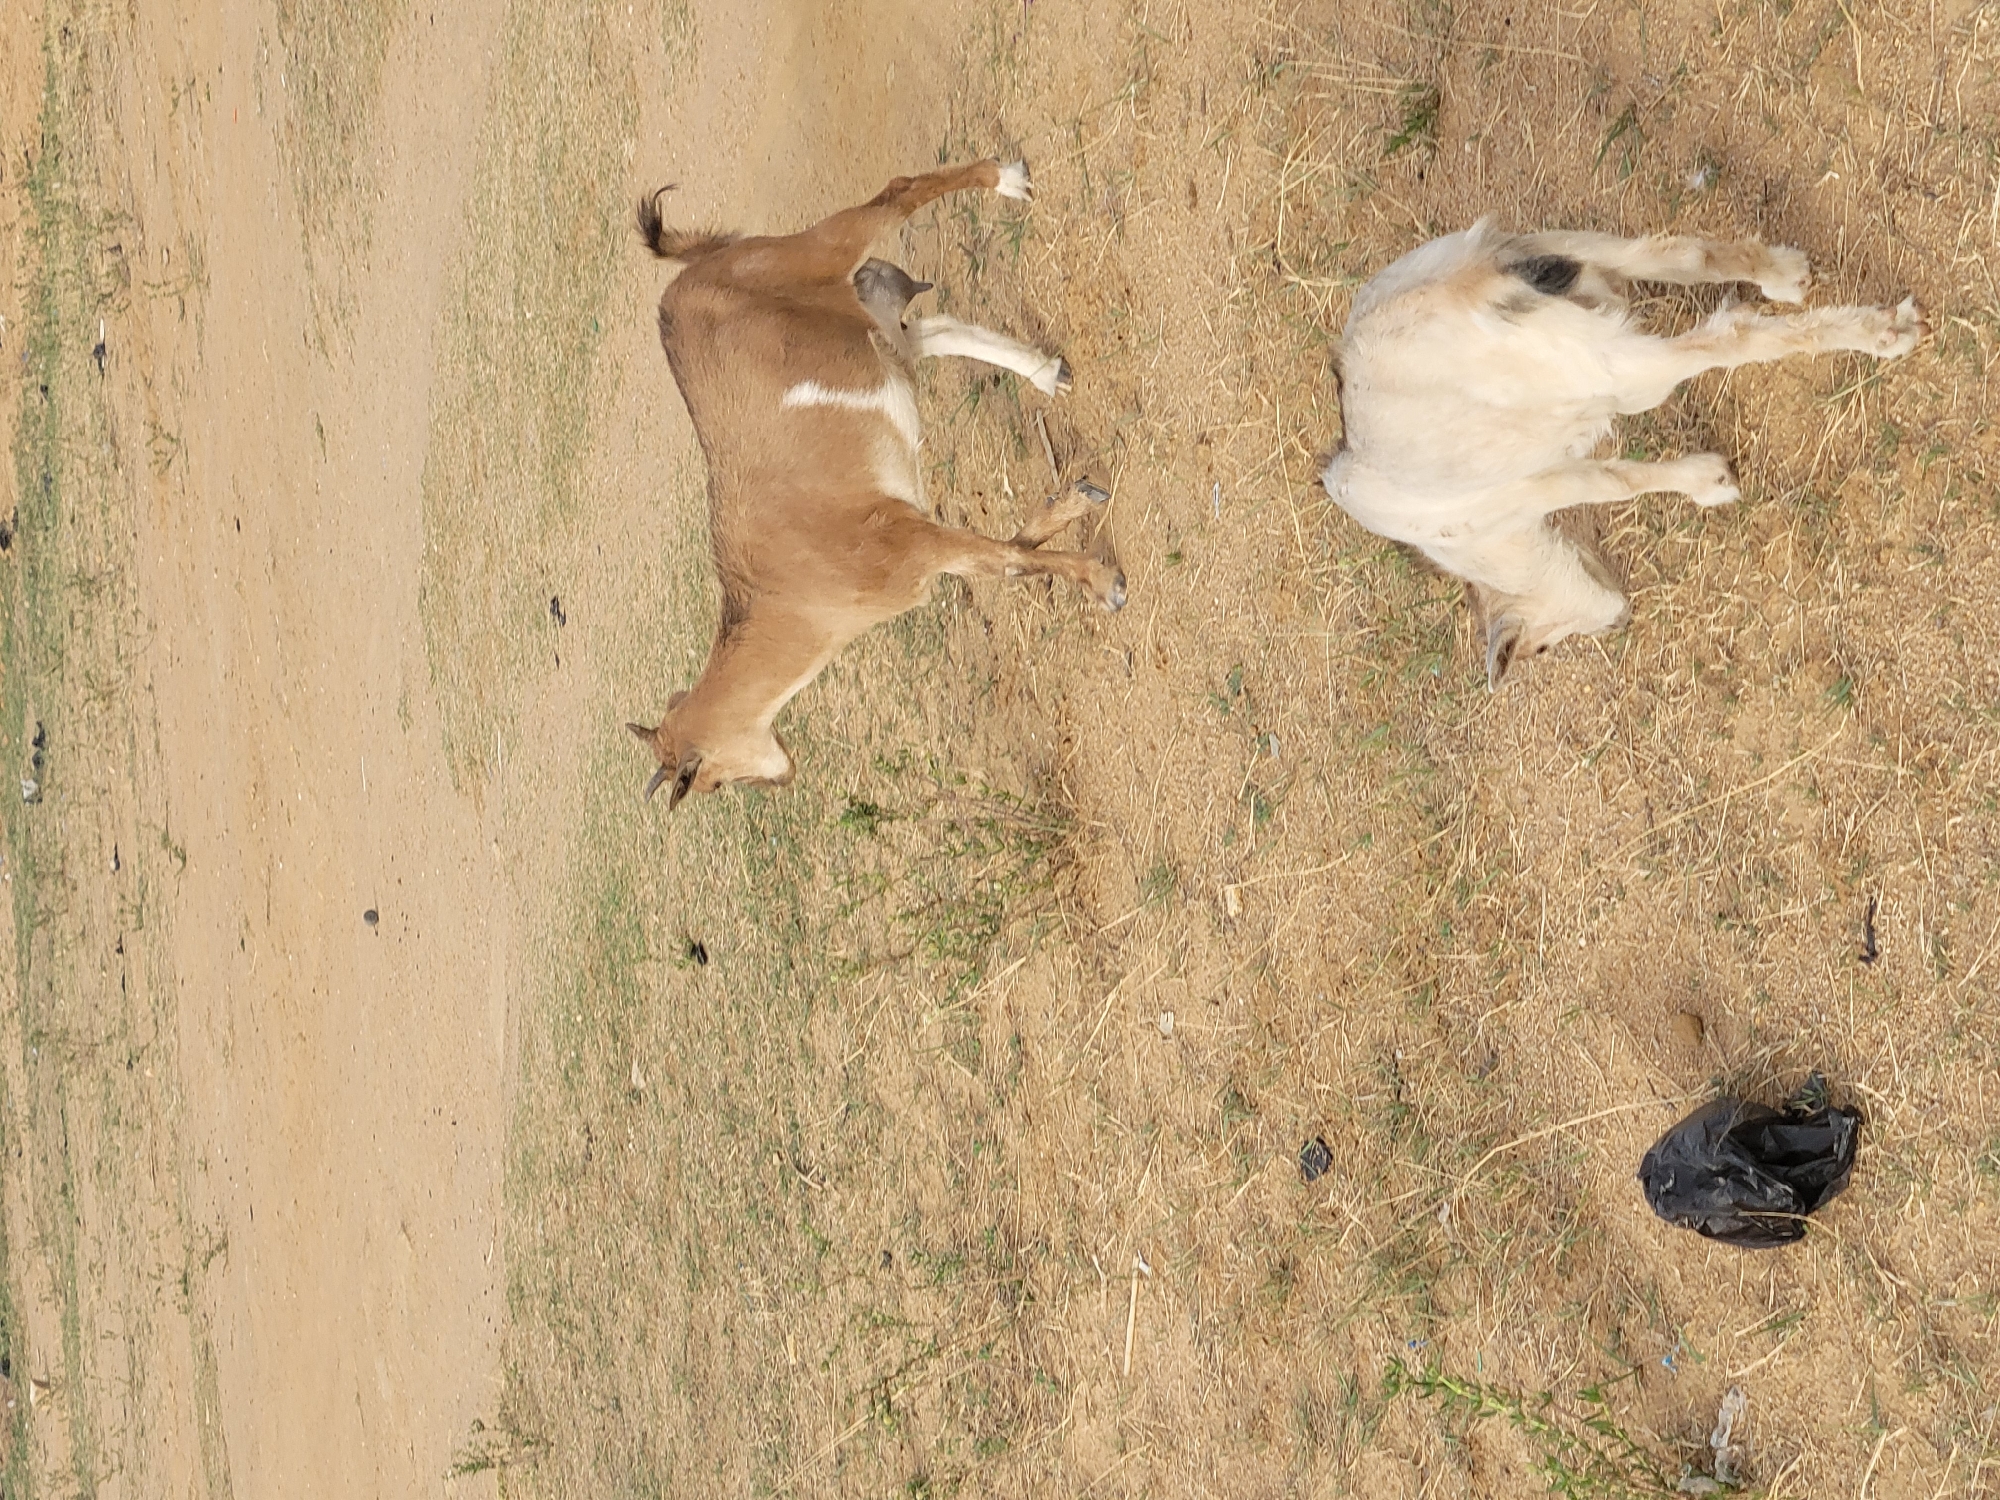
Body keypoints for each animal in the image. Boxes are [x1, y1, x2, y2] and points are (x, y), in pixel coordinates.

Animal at [629, 159, 1125, 807]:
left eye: (709, 780)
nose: (782, 778)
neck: (796, 595)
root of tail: (695, 272)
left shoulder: (907, 540)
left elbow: (1011, 560)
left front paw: (1105, 581)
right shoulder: (923, 540)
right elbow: (1012, 553)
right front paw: (1076, 502)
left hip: (823, 250)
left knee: (898, 194)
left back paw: (1009, 180)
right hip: (868, 323)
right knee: (931, 331)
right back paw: (1047, 373)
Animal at [1320, 220, 1926, 687]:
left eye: (1541, 648)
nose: (1618, 623)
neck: (1474, 548)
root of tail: (1454, 290)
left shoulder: (1539, 483)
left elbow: (1616, 480)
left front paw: (1712, 483)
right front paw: (1710, 477)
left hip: (1609, 369)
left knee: (1726, 336)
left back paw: (1886, 332)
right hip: (1545, 246)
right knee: (1676, 253)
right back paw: (1787, 275)